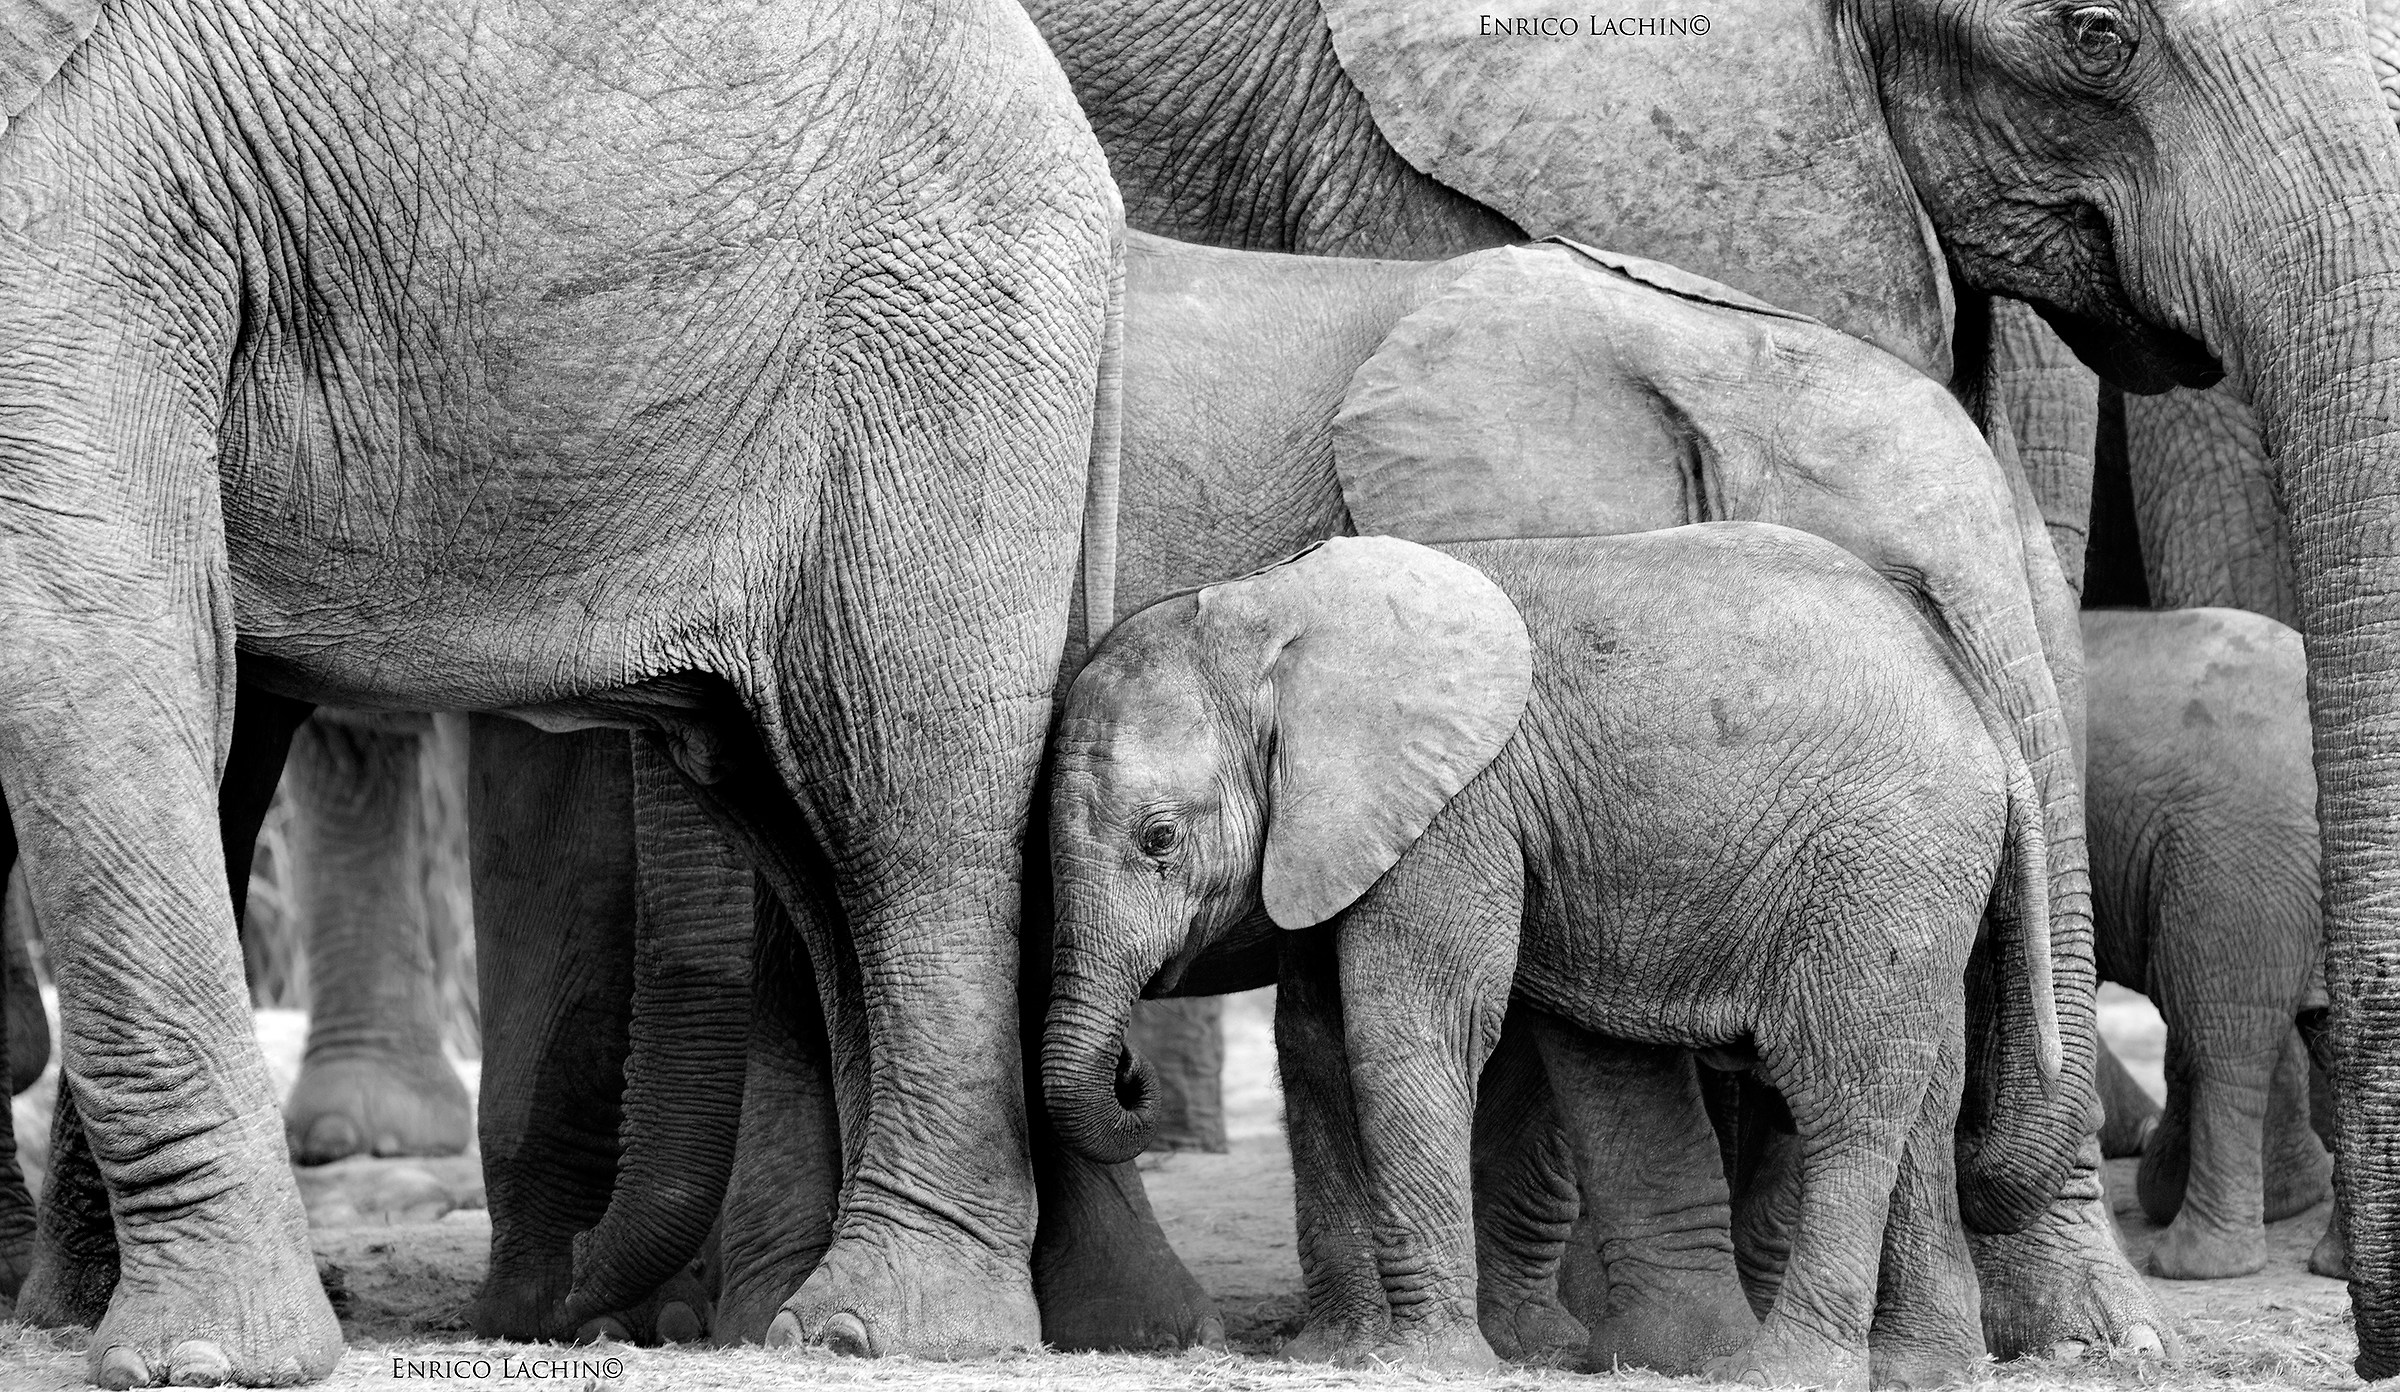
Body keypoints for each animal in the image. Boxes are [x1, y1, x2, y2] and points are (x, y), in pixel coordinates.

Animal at [0, 0, 1120, 1383]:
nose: (577, 1303)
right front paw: (74, 1319)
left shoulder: (96, 187)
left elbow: (91, 640)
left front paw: (200, 1363)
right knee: (804, 829)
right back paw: (815, 1314)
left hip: (945, 353)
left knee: (905, 800)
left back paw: (880, 1330)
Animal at [1043, 526, 2068, 1389]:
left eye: (1159, 839)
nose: (1131, 1069)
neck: (1270, 609)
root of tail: (1989, 728)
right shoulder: (1334, 831)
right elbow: (1315, 1045)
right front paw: (1341, 1354)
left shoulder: (1454, 808)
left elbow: (1412, 1032)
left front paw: (1427, 1366)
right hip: (1914, 882)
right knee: (1918, 1099)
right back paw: (1919, 1370)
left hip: (1881, 863)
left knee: (1844, 1093)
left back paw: (1785, 1373)